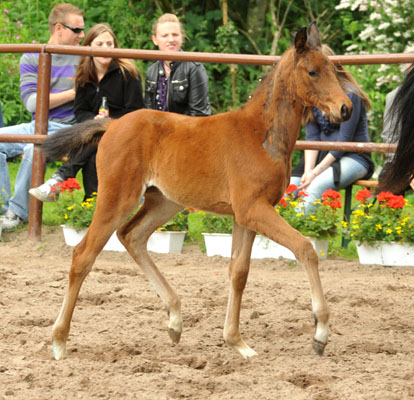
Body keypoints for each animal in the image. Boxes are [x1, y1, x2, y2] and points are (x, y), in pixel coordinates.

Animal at [47, 21, 352, 360]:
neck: (261, 134)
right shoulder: (253, 209)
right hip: (118, 197)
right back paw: (59, 341)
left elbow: (238, 272)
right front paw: (320, 332)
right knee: (83, 255)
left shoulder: (245, 215)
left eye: (334, 69)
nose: (345, 109)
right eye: (312, 72)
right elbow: (305, 248)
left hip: (165, 202)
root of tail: (112, 124)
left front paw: (237, 342)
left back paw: (175, 321)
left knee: (131, 236)